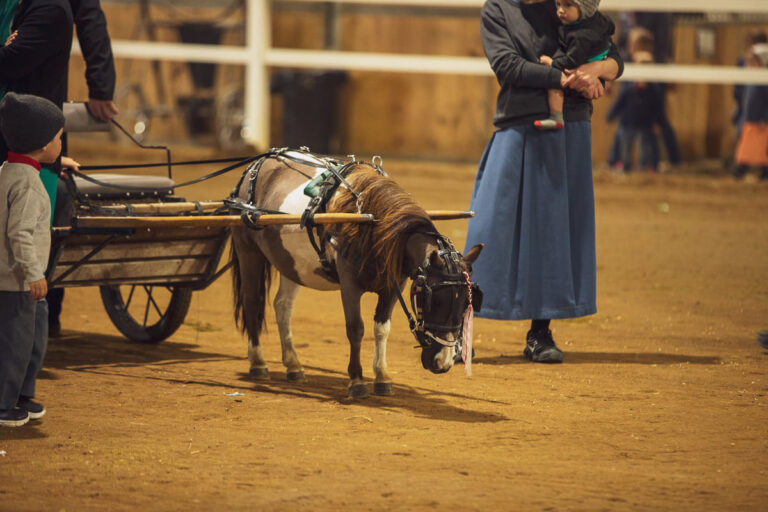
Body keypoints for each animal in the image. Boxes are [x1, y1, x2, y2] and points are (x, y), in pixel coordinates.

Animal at [229, 150, 483, 398]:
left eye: (465, 305)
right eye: (434, 302)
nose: (443, 363)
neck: (371, 223)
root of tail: (258, 164)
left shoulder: (393, 286)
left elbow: (382, 328)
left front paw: (382, 376)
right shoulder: (349, 284)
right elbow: (356, 328)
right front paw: (357, 380)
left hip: (290, 262)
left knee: (282, 306)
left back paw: (293, 365)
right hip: (247, 249)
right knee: (251, 302)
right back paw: (258, 362)